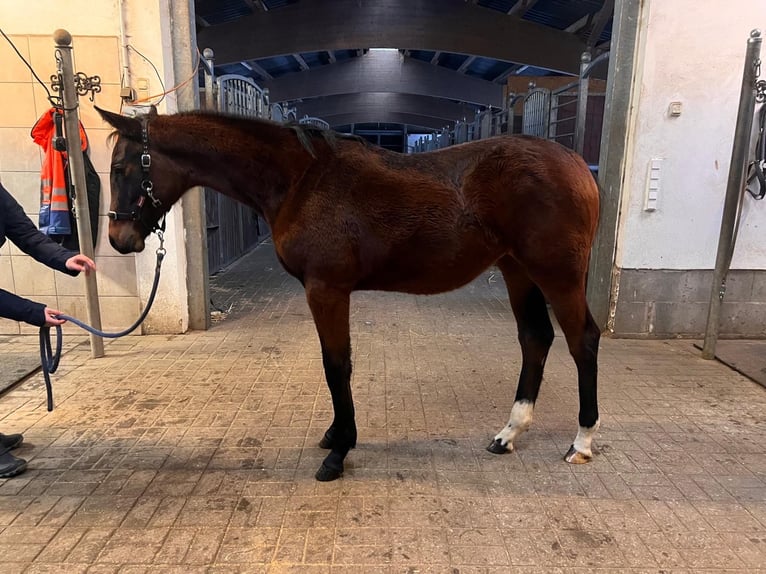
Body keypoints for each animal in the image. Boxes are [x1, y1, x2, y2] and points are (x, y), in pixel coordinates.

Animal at [95, 106, 601, 482]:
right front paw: (335, 436)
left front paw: (338, 453)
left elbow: (336, 366)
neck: (301, 181)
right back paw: (508, 434)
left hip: (557, 275)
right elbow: (335, 364)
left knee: (583, 341)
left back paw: (581, 441)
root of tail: (577, 163)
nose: (120, 239)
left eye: (120, 168)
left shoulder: (327, 289)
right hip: (517, 271)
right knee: (535, 338)